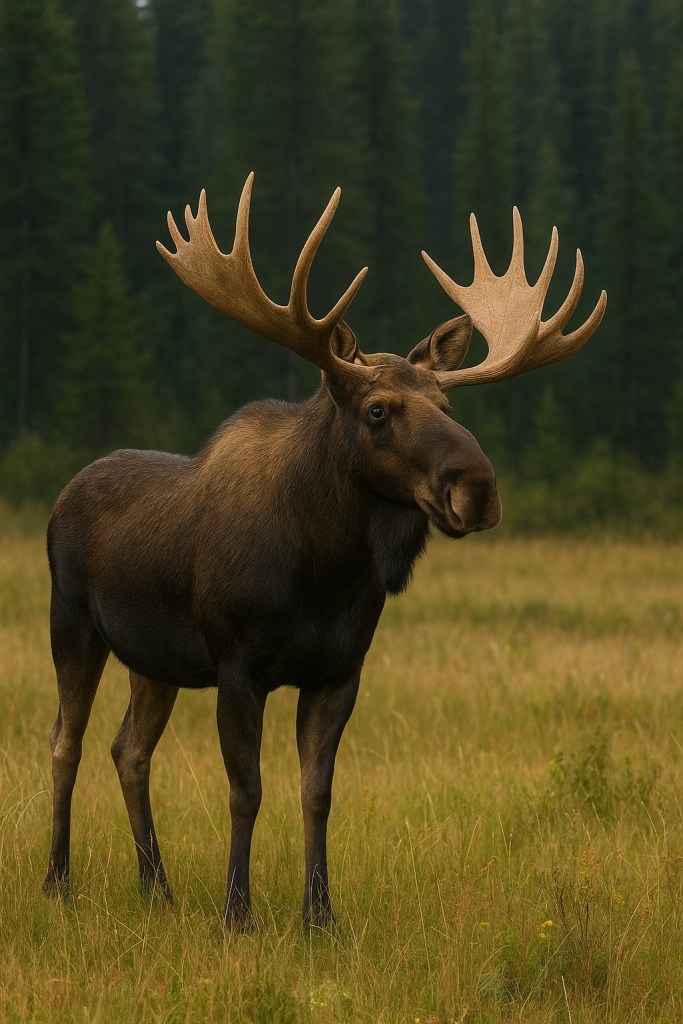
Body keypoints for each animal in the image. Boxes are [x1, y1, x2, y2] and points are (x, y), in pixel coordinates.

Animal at [42, 174, 606, 928]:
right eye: (378, 410)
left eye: (449, 409)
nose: (478, 488)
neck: (323, 571)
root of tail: (61, 497)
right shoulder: (238, 663)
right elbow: (246, 791)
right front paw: (238, 912)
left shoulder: (339, 670)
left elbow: (317, 792)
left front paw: (320, 915)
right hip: (72, 622)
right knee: (66, 742)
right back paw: (58, 881)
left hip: (154, 659)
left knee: (129, 749)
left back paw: (157, 888)